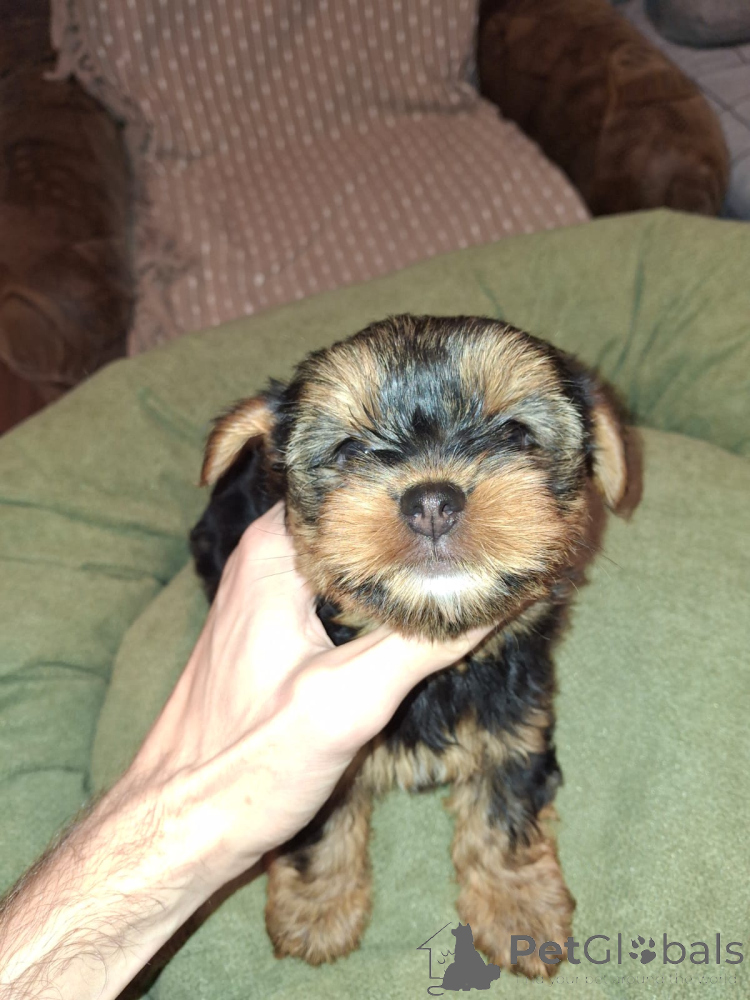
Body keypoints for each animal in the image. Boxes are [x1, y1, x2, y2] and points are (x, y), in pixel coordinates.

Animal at [189, 314, 628, 978]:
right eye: (348, 451)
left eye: (514, 433)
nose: (432, 501)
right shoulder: (318, 759)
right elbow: (317, 828)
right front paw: (317, 910)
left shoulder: (514, 723)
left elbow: (506, 809)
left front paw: (519, 908)